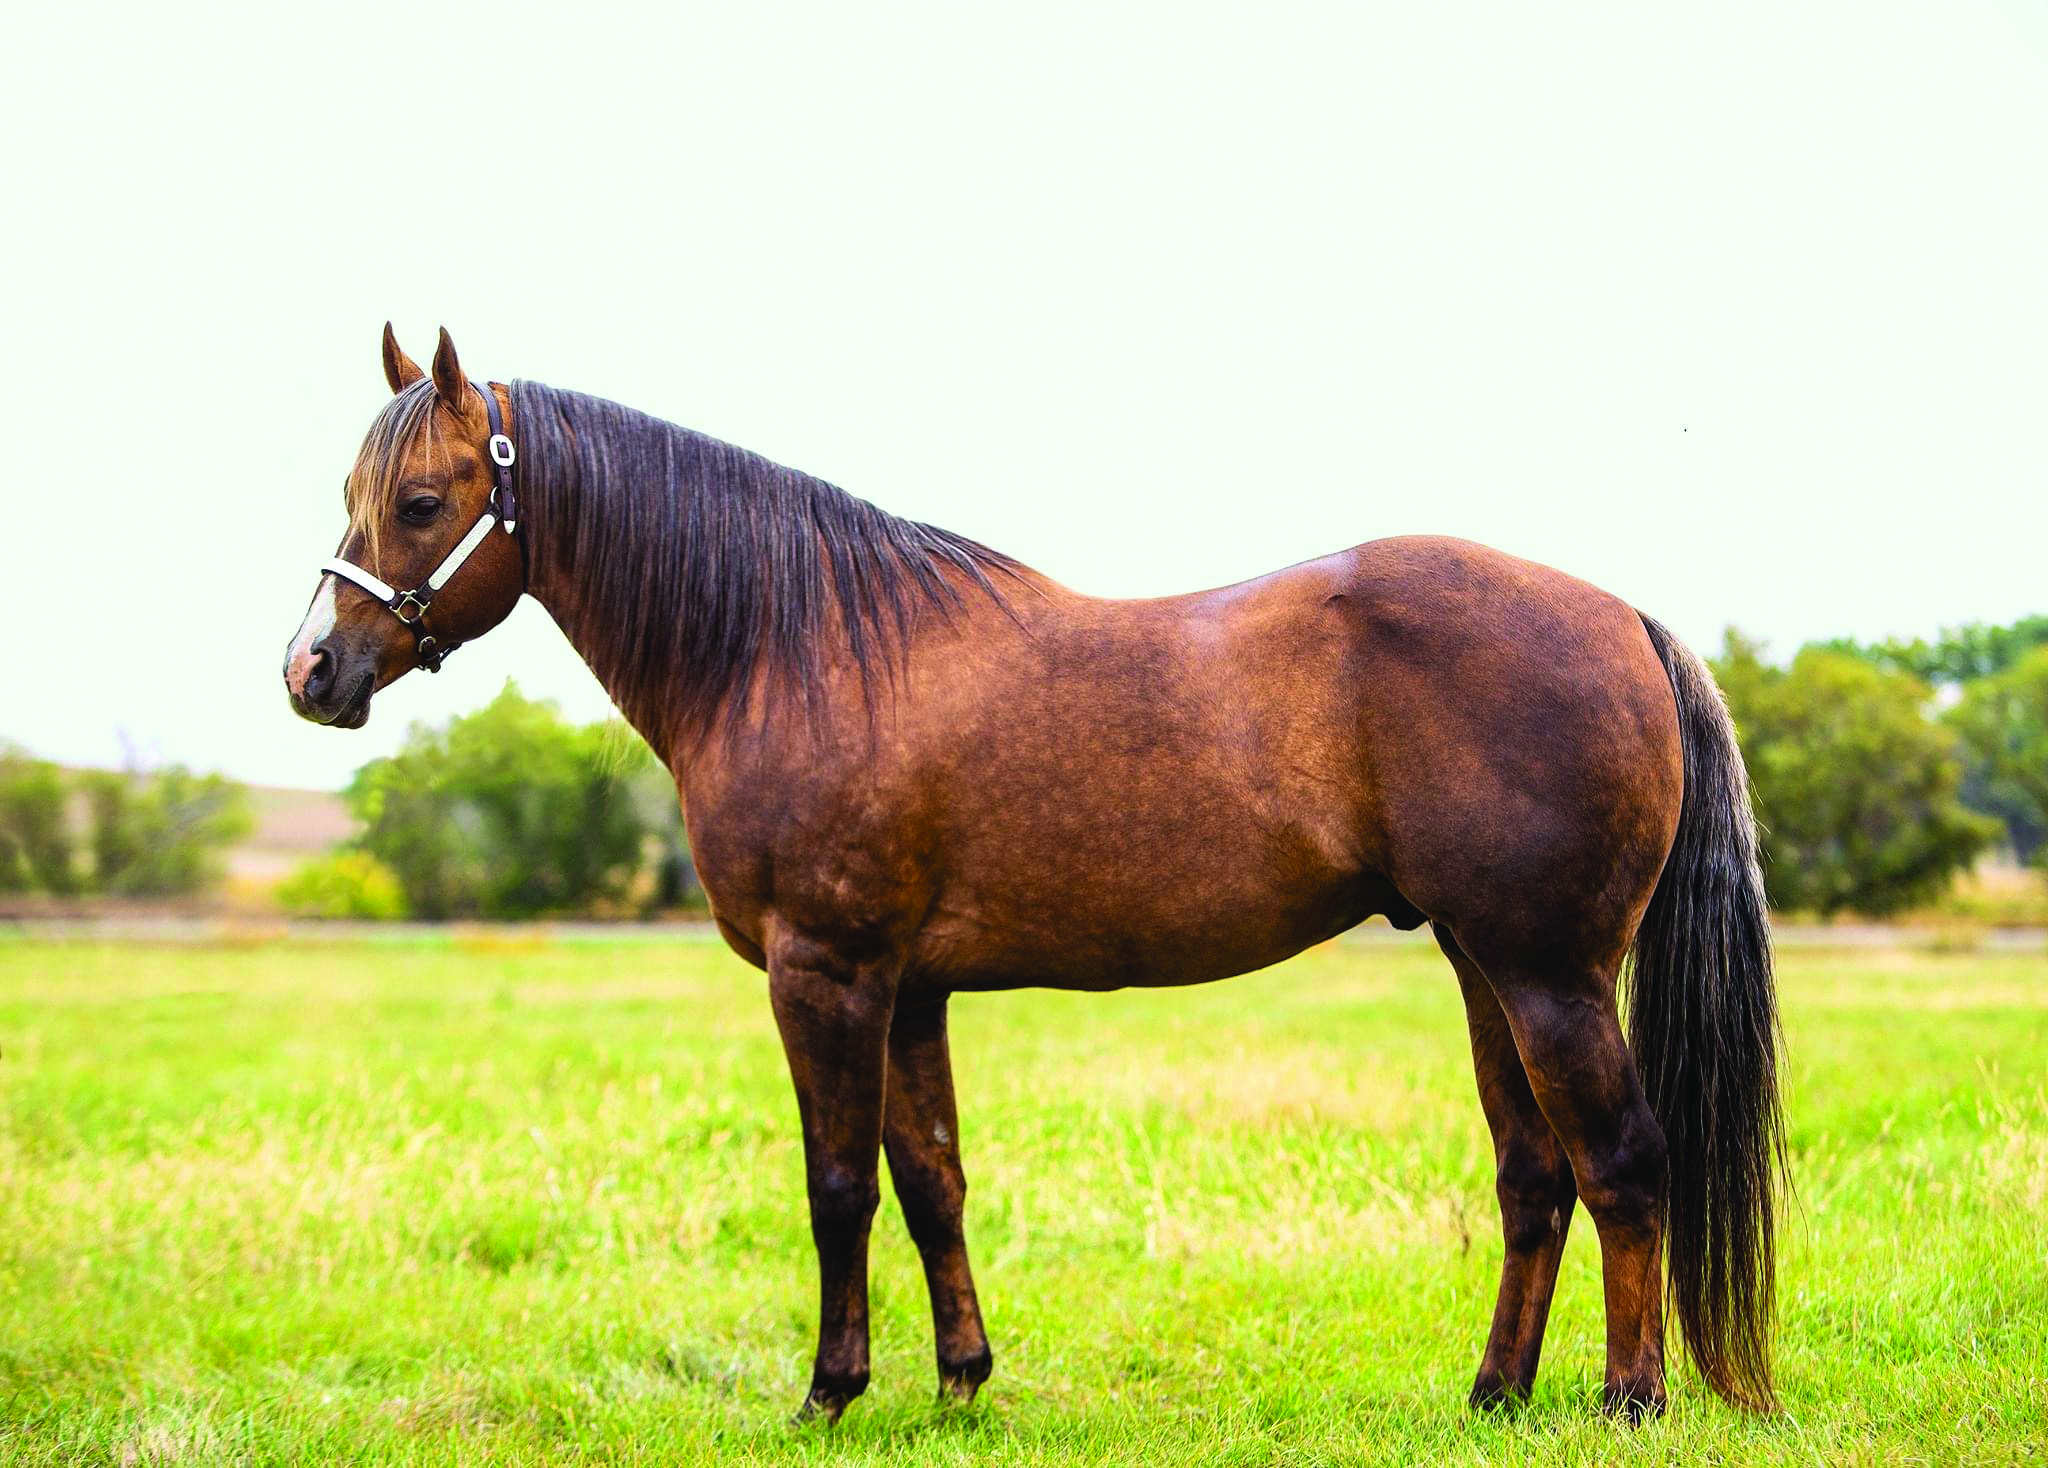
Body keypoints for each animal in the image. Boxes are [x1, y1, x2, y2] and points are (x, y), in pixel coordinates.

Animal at [284, 326, 1783, 1424]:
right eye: (357, 497)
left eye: (421, 500)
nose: (311, 672)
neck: (792, 645)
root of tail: (1623, 616)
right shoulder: (910, 991)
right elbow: (932, 1179)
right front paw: (959, 1384)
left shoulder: (826, 973)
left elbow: (839, 1186)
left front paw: (829, 1395)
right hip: (1485, 966)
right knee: (1534, 1178)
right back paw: (1491, 1396)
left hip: (1550, 977)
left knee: (1624, 1165)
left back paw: (1627, 1403)